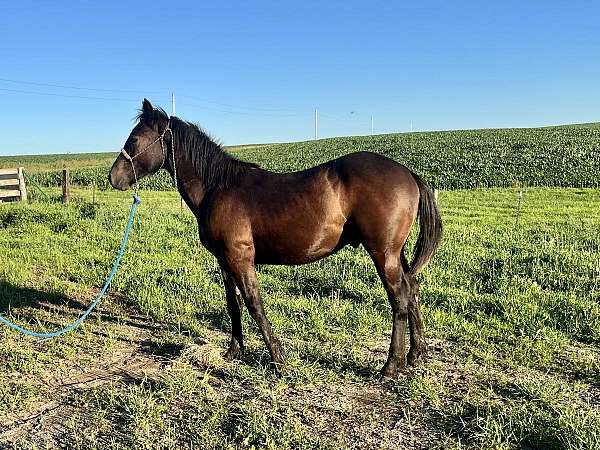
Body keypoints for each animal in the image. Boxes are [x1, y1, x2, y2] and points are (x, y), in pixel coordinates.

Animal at [110, 99, 442, 380]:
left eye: (134, 140)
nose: (114, 178)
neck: (218, 187)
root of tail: (408, 173)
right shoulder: (224, 260)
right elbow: (233, 303)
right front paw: (234, 350)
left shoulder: (240, 257)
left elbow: (253, 302)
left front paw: (278, 358)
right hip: (396, 253)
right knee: (412, 289)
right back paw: (416, 355)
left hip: (382, 252)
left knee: (399, 297)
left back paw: (391, 366)